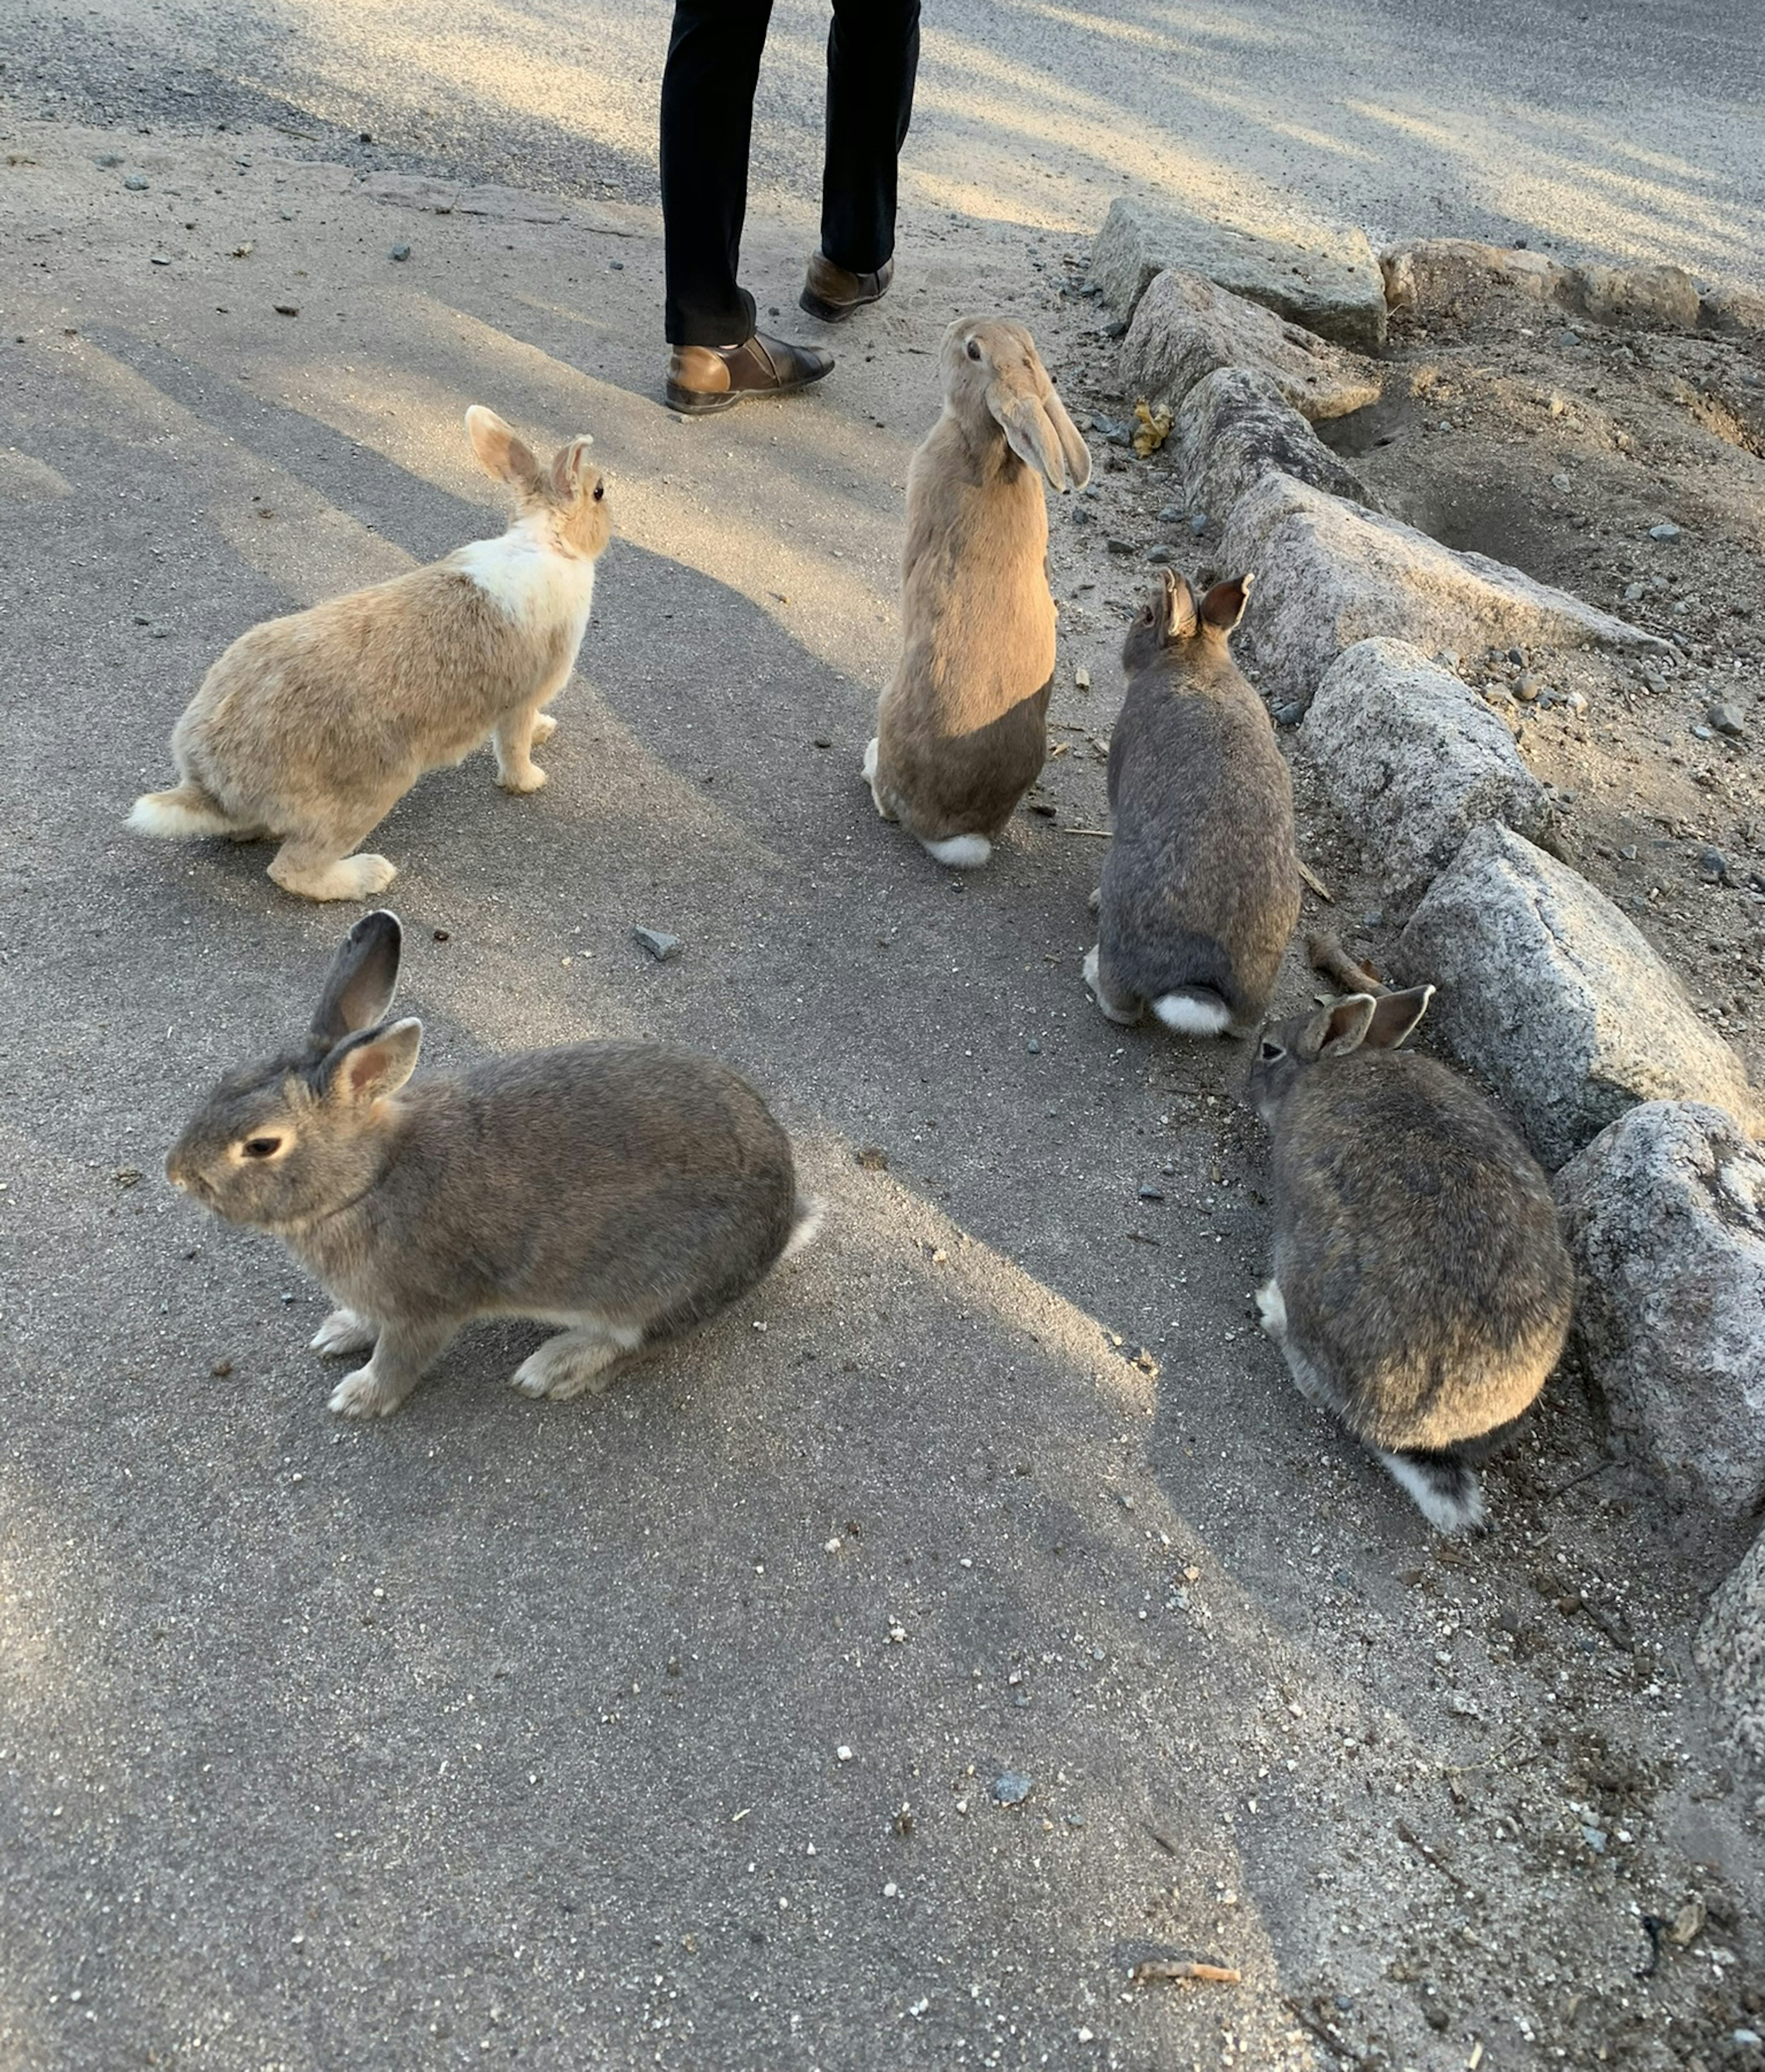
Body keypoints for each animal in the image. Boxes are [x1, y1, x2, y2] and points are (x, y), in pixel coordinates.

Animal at [131, 408, 613, 903]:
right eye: (598, 492)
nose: (608, 508)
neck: (547, 542)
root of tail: (208, 773)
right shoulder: (523, 697)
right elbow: (514, 747)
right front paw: (532, 779)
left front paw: (545, 730)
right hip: (369, 789)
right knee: (292, 870)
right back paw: (370, 874)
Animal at [165, 916, 820, 1417]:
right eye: (227, 1078)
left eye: (261, 1145)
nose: (176, 1172)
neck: (367, 1180)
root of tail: (783, 1218)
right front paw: (340, 1331)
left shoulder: (425, 1308)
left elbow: (400, 1358)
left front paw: (359, 1397)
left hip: (659, 1286)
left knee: (633, 1340)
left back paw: (553, 1368)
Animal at [1085, 568, 1301, 1036]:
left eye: (1148, 615)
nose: (1128, 643)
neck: (1193, 658)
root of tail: (1199, 982)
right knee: (1244, 1026)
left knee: (1121, 1006)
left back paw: (1093, 969)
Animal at [1243, 986, 1574, 1541]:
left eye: (1270, 1050)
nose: (1243, 1081)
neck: (1336, 1063)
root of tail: (1413, 1434)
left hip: (1309, 1270)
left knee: (1311, 1380)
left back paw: (1272, 1309)